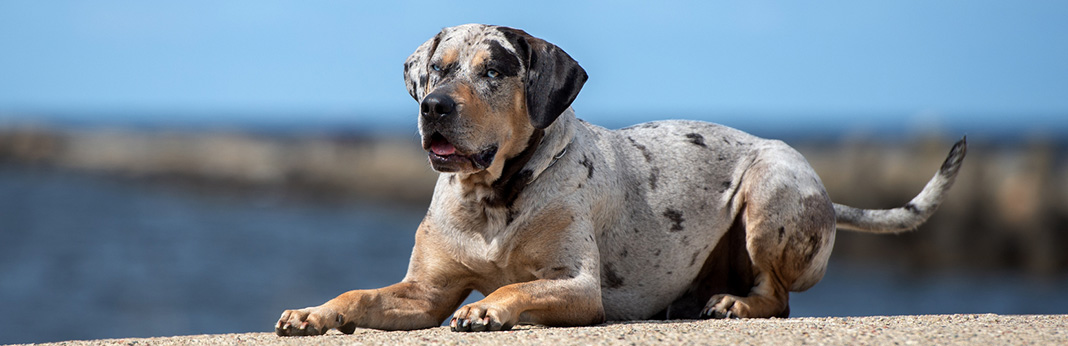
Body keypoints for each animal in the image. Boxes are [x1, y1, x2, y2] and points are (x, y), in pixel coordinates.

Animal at [275, 23, 969, 335]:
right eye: (438, 69)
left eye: (494, 71)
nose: (434, 107)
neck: (495, 196)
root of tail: (826, 193)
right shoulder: (423, 292)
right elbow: (360, 296)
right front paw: (314, 312)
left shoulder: (577, 286)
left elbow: (516, 288)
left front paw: (489, 309)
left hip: (770, 188)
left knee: (778, 296)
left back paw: (735, 302)